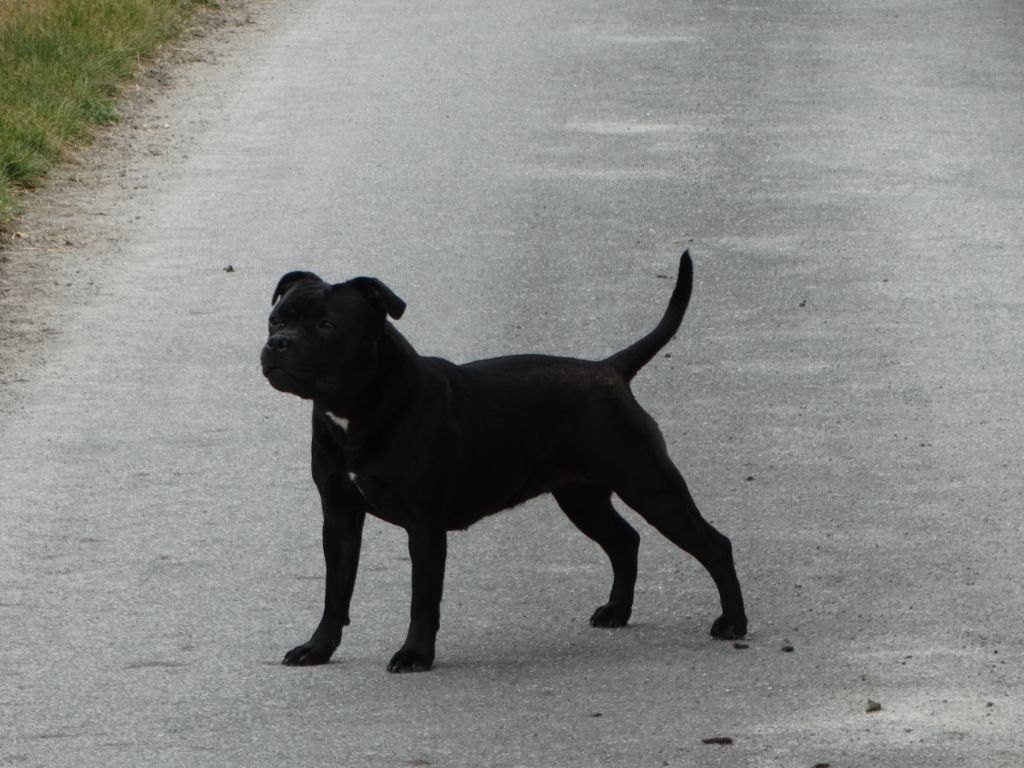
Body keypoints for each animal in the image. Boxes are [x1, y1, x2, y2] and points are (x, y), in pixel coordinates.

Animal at [261, 251, 747, 672]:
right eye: (275, 319)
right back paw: (617, 611)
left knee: (713, 544)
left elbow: (423, 598)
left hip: (649, 484)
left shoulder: (424, 525)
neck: (356, 407)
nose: (278, 343)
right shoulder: (340, 516)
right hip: (582, 498)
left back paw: (734, 623)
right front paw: (318, 649)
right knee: (625, 540)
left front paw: (415, 654)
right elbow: (335, 593)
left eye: (328, 324)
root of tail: (610, 370)